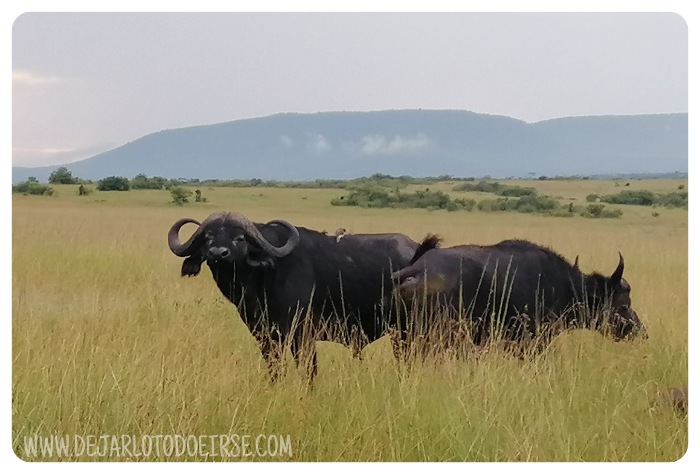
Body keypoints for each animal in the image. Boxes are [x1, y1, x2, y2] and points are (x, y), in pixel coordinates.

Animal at [170, 213, 432, 380]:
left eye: (240, 238)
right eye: (208, 237)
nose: (218, 253)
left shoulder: (302, 334)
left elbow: (308, 370)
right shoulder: (265, 336)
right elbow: (275, 368)